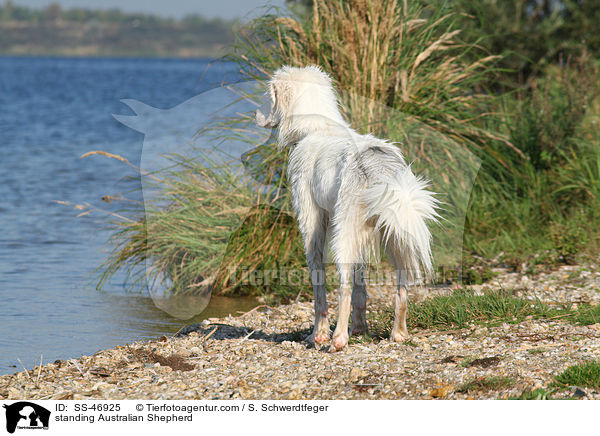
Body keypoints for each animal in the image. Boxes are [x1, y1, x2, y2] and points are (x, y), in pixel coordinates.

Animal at [255, 64, 438, 350]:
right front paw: (361, 329)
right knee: (401, 287)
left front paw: (317, 335)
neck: (316, 128)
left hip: (343, 233)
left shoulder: (312, 225)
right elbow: (361, 286)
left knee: (343, 288)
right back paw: (397, 333)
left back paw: (338, 339)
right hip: (395, 233)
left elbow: (320, 289)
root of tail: (380, 170)